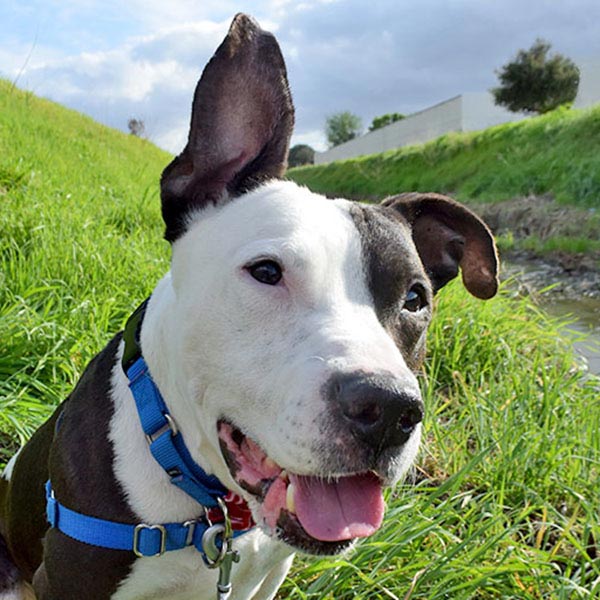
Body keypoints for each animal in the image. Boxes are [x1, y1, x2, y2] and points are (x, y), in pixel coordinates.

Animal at [0, 14, 496, 600]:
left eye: (415, 298)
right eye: (266, 272)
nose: (390, 409)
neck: (211, 508)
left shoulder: (267, 572)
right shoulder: (69, 577)